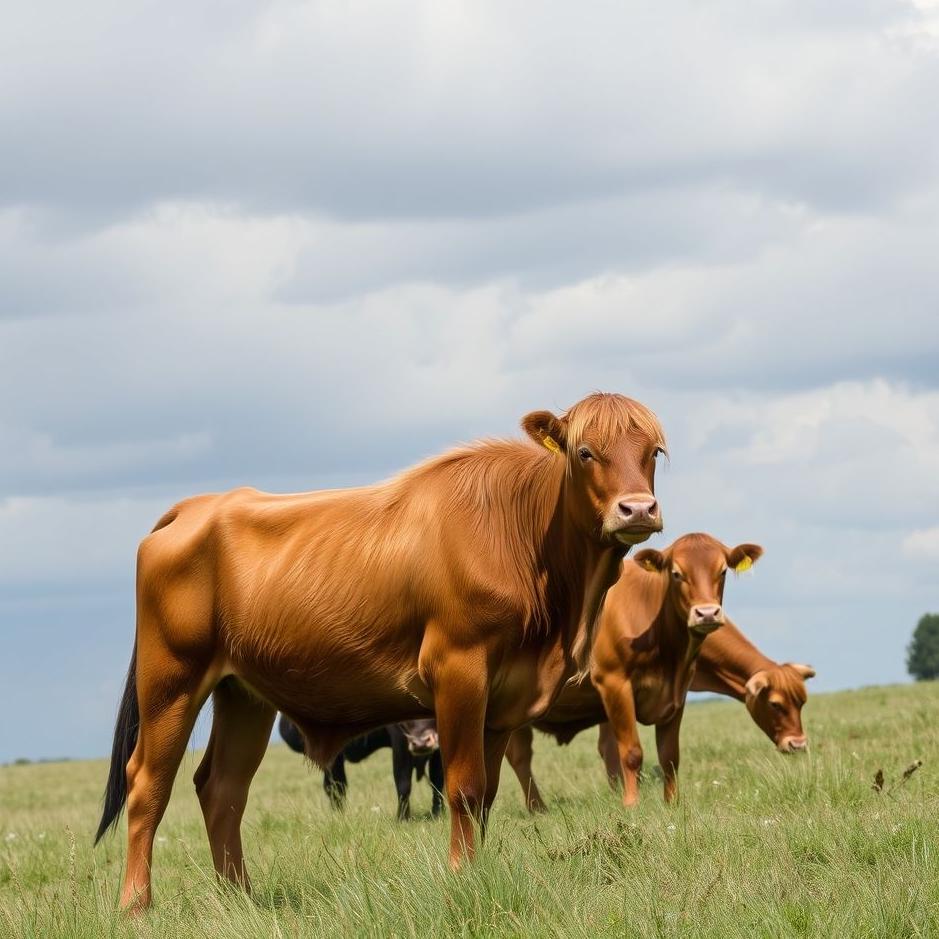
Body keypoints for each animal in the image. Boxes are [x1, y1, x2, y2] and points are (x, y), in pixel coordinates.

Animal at [278, 715, 444, 819]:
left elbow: (437, 781)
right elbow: (403, 782)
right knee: (335, 787)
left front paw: (438, 813)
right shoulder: (399, 740)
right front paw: (403, 818)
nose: (421, 743)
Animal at [503, 533, 762, 810]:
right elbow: (630, 752)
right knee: (519, 757)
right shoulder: (613, 682)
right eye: (676, 573)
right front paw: (631, 803)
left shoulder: (678, 692)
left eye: (722, 571)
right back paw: (536, 809)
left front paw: (672, 803)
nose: (707, 613)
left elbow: (670, 755)